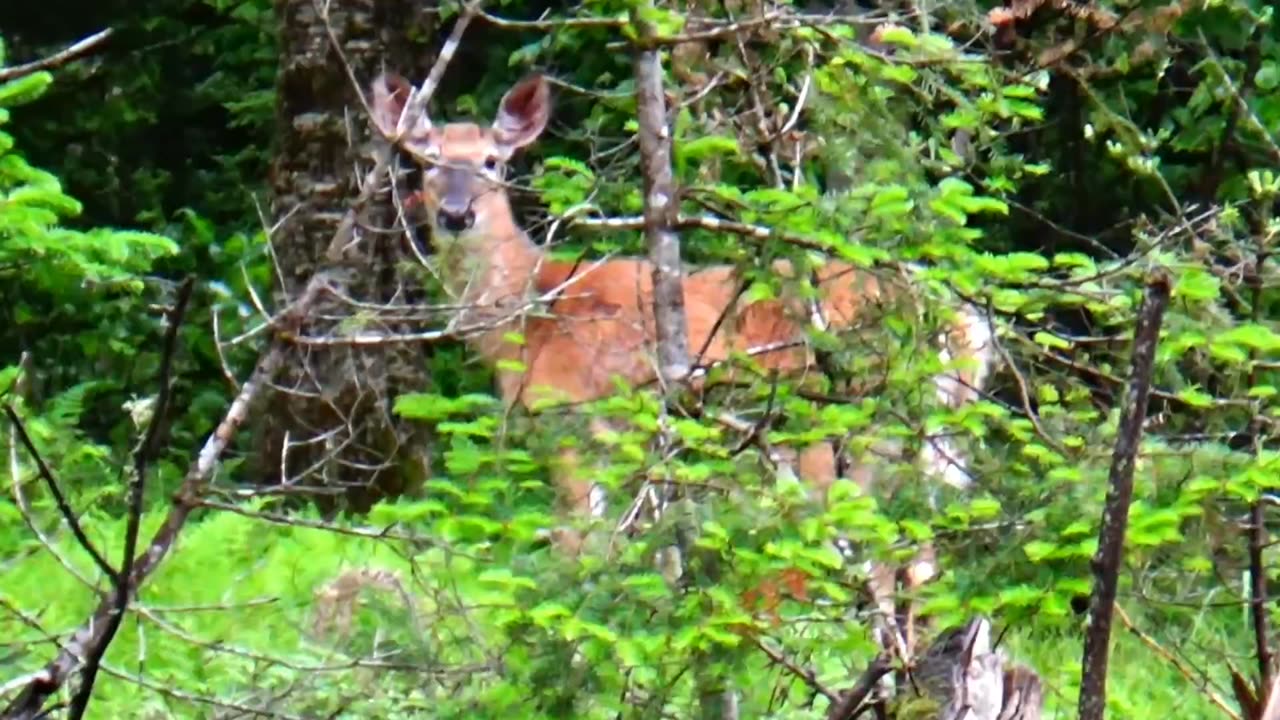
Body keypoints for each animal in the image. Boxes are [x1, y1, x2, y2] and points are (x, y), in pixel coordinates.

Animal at [368, 71, 998, 655]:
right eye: (425, 161)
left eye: (492, 161)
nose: (455, 214)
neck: (531, 318)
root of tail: (962, 322)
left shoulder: (572, 420)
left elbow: (578, 545)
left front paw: (572, 638)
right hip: (929, 433)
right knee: (918, 553)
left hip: (841, 420)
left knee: (875, 551)